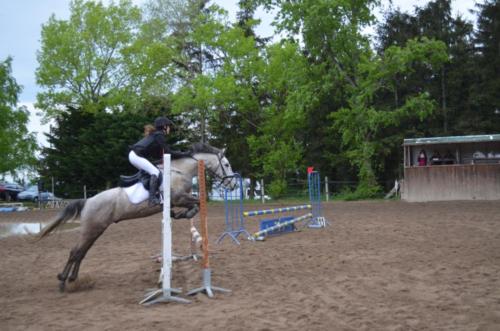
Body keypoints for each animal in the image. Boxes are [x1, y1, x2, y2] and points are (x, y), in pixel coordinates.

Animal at [37, 141, 236, 292]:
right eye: (226, 164)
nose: (233, 185)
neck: (179, 171)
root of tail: (88, 201)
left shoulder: (179, 199)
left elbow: (195, 204)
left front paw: (180, 214)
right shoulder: (179, 198)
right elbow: (197, 203)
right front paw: (184, 213)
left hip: (96, 230)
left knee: (81, 252)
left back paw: (72, 279)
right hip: (91, 228)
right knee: (75, 251)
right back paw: (63, 281)